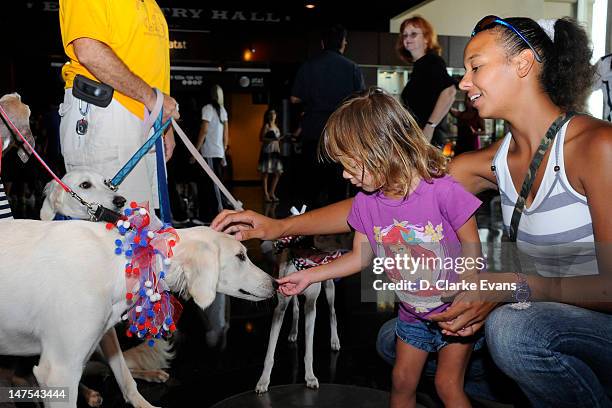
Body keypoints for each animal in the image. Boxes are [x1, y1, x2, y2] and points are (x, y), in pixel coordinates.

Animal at [0, 220, 274, 408]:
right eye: (241, 256)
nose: (275, 284)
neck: (120, 262)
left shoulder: (105, 333)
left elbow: (123, 375)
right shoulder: (58, 370)